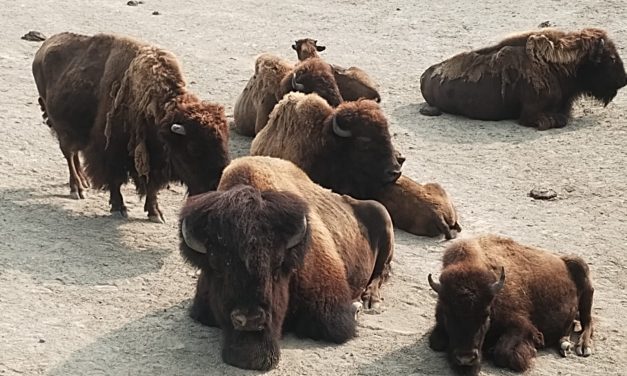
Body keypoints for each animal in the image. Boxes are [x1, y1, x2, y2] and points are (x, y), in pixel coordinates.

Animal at [31, 33, 228, 223]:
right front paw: (119, 208)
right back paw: (77, 189)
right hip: (62, 129)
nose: (215, 186)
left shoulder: (151, 160)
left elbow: (152, 187)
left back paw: (84, 182)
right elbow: (115, 181)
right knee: (69, 155)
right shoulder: (110, 152)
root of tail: (42, 50)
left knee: (74, 155)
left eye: (224, 143)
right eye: (193, 147)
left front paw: (156, 213)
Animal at [179, 156, 392, 370]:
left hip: (384, 220)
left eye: (277, 267)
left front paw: (356, 308)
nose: (250, 319)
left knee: (383, 271)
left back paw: (370, 300)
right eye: (217, 269)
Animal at [426, 234, 592, 374]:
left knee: (588, 320)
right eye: (447, 313)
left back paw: (583, 347)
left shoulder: (521, 325)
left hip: (586, 283)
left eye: (486, 314)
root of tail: (563, 260)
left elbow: (503, 353)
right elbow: (436, 342)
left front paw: (535, 345)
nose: (466, 359)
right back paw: (564, 343)